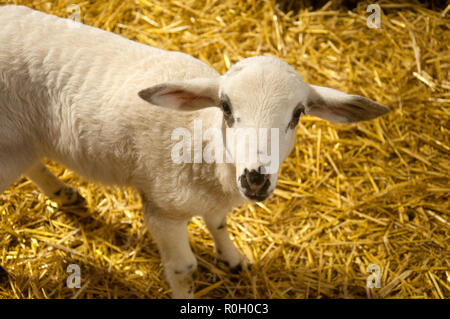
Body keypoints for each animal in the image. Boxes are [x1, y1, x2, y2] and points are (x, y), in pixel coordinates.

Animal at [0, 5, 388, 300]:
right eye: (226, 107)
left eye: (298, 114)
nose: (256, 178)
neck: (205, 146)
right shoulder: (163, 212)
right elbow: (184, 268)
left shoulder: (214, 200)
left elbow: (218, 223)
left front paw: (233, 259)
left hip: (23, 141)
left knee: (33, 163)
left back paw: (63, 193)